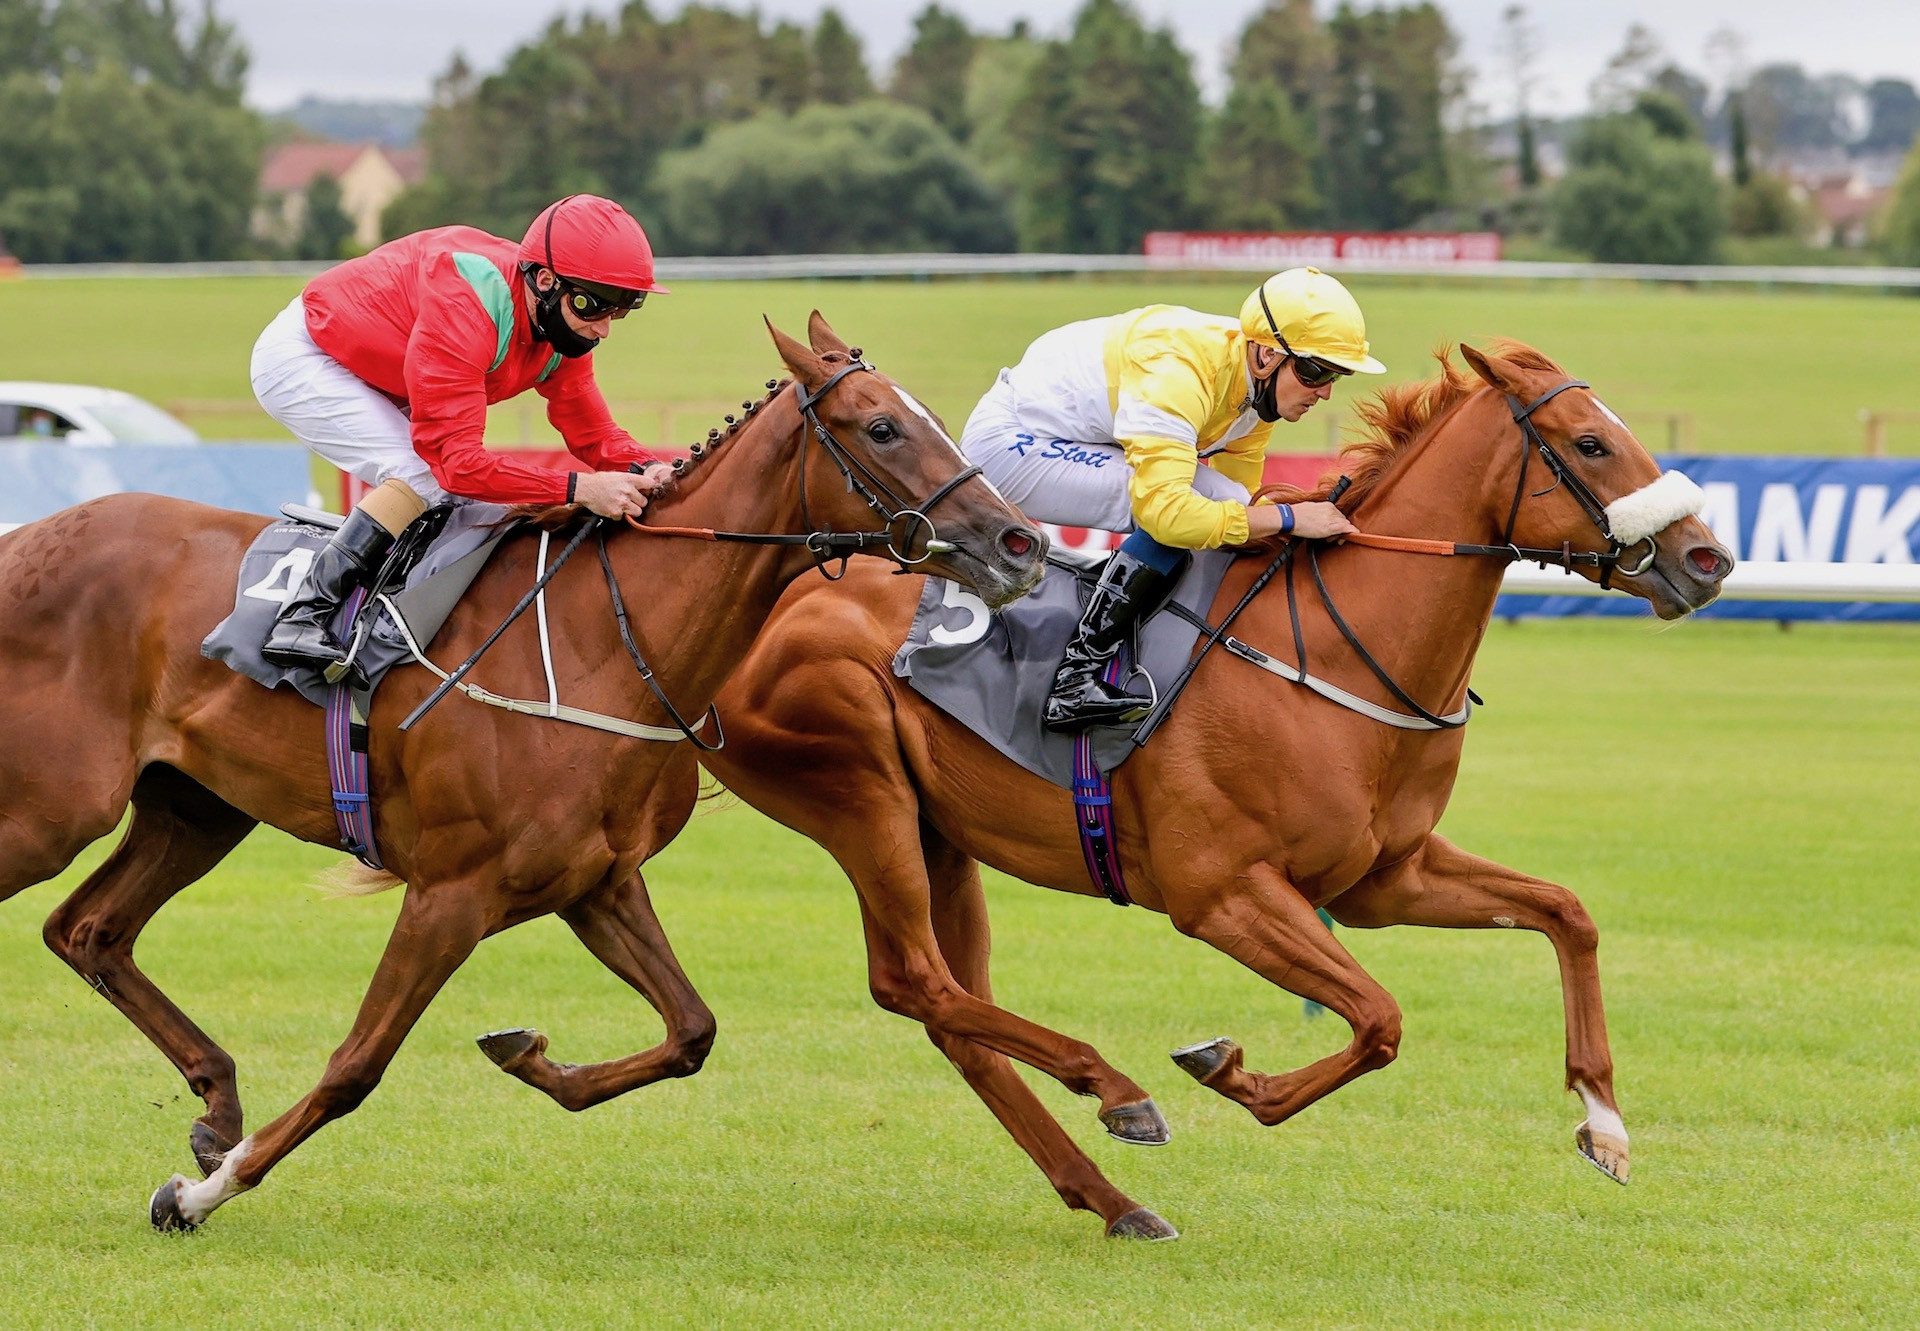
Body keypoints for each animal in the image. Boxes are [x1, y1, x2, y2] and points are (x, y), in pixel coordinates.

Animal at [0, 311, 1052, 1221]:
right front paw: (201, 1195)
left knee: (88, 929)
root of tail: (25, 541)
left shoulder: (594, 882)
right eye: (881, 426)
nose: (1023, 542)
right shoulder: (449, 893)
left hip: (197, 807)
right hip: (51, 810)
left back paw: (216, 1102)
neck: (605, 642)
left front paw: (530, 1055)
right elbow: (354, 1065)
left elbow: (692, 1031)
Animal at [695, 341, 1743, 1236]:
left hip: (938, 832)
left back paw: (1113, 1196)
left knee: (953, 1010)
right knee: (914, 980)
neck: (1335, 651)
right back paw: (1119, 1097)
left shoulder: (1384, 878)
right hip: (860, 793)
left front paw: (1606, 1121)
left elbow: (1566, 914)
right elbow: (1379, 1018)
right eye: (1591, 442)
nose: (1709, 558)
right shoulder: (1223, 893)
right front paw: (1230, 1070)